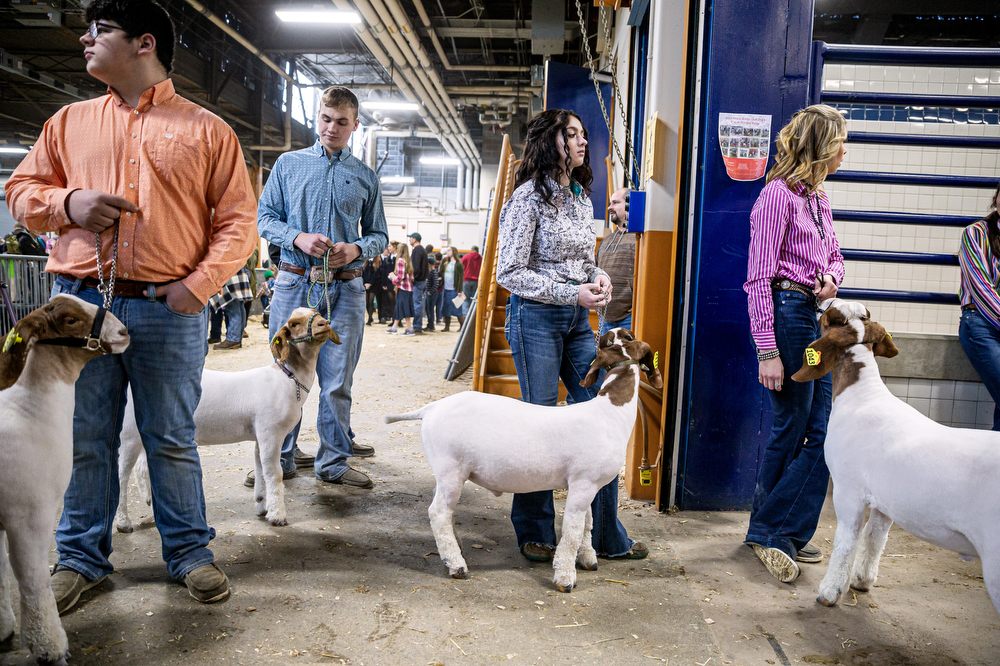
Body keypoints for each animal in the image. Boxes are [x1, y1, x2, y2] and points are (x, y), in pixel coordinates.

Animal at [0, 296, 129, 664]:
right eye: (70, 319)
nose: (124, 332)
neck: (30, 411)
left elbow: (0, 576)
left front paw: (3, 628)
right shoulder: (28, 517)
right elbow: (32, 583)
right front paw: (49, 648)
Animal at [114, 308, 336, 528]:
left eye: (317, 312)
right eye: (294, 324)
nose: (324, 323)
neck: (289, 379)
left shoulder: (261, 435)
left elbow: (260, 469)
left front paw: (261, 504)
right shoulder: (271, 433)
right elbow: (274, 474)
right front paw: (277, 515)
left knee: (142, 467)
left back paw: (150, 502)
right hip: (128, 433)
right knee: (121, 474)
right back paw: (123, 521)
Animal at [380, 326, 656, 592]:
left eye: (627, 336)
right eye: (612, 341)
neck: (608, 411)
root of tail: (431, 408)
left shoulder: (586, 485)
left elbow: (587, 523)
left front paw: (588, 558)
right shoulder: (583, 483)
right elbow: (572, 532)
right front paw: (565, 578)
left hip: (446, 470)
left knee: (443, 511)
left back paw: (454, 547)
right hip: (450, 469)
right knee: (437, 512)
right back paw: (456, 564)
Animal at [788, 300, 1000, 612]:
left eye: (830, 315)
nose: (822, 300)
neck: (862, 393)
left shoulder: (848, 490)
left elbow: (847, 540)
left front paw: (830, 591)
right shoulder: (884, 501)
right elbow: (875, 537)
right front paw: (862, 580)